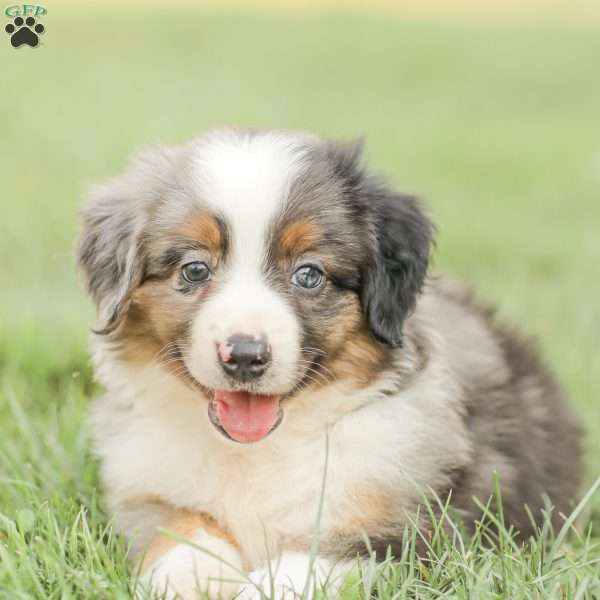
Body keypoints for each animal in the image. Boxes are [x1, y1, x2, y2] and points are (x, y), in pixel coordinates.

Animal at [78, 130, 580, 600]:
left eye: (309, 275)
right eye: (195, 269)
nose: (245, 356)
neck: (257, 454)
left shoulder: (406, 529)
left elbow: (307, 563)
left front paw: (258, 586)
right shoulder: (149, 492)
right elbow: (180, 533)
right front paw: (191, 577)